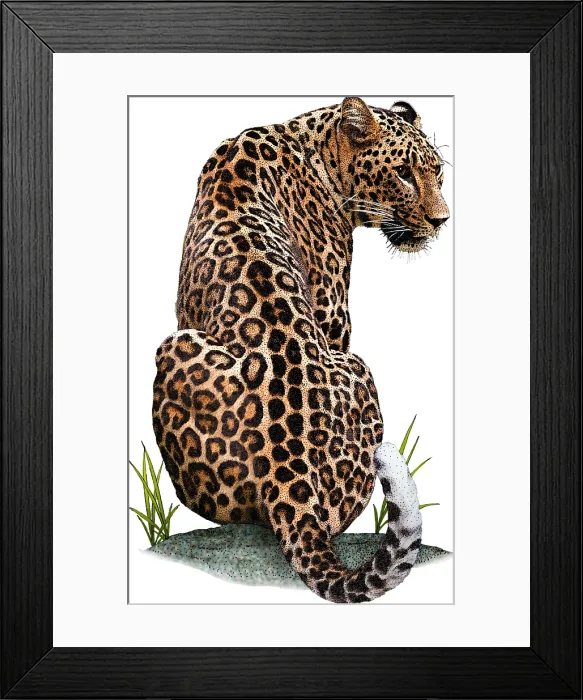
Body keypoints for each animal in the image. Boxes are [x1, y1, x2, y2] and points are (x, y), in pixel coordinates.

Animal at [152, 97, 449, 603]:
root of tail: (287, 475)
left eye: (438, 173)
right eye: (404, 173)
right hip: (346, 361)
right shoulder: (332, 318)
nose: (441, 220)